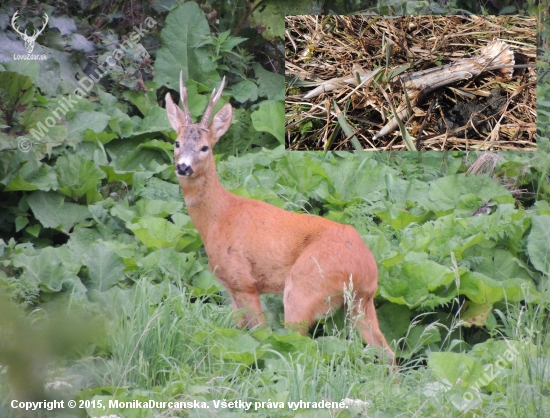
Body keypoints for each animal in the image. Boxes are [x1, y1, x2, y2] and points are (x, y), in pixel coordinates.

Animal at [165, 72, 396, 366]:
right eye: (177, 143)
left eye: (205, 147)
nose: (183, 167)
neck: (218, 217)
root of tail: (367, 269)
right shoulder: (229, 288)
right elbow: (239, 331)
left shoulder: (243, 281)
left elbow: (259, 334)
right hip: (361, 303)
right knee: (387, 351)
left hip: (303, 288)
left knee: (300, 345)